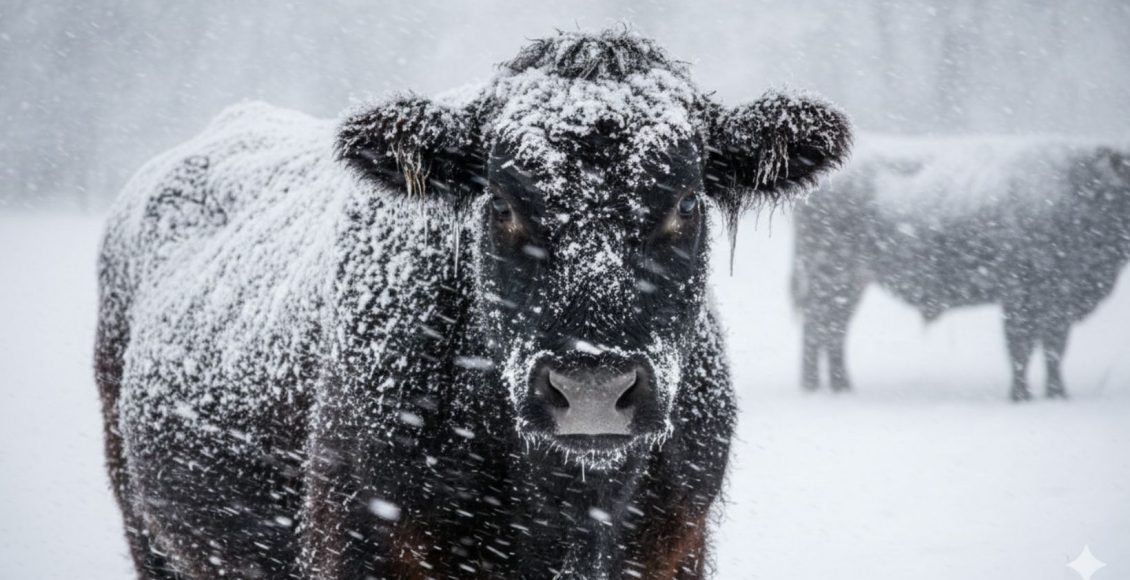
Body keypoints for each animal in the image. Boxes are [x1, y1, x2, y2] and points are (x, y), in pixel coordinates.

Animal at [792, 136, 1130, 401]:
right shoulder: (1020, 300)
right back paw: (826, 388)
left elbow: (1053, 351)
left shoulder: (1059, 306)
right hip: (833, 277)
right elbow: (1021, 349)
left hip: (849, 284)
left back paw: (834, 387)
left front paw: (1058, 395)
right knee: (822, 328)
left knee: (830, 330)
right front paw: (1021, 396)